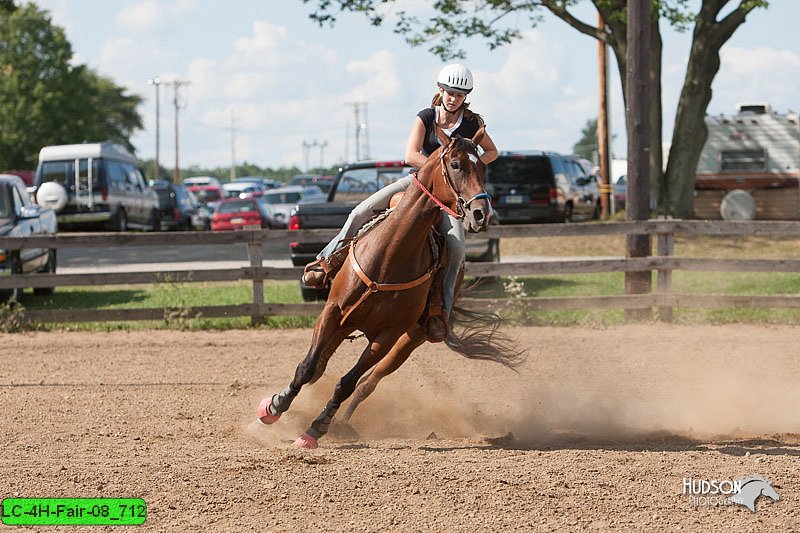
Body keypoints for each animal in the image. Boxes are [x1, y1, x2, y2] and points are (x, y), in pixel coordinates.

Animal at [256, 127, 528, 446]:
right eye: (456, 164)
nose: (481, 214)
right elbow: (307, 367)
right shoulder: (333, 311)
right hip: (347, 325)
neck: (388, 256)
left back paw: (342, 424)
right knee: (321, 368)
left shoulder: (387, 336)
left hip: (409, 339)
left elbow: (347, 382)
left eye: (484, 167)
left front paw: (315, 429)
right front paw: (272, 408)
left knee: (367, 382)